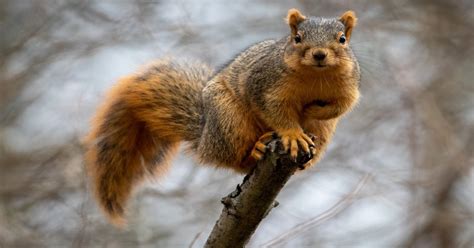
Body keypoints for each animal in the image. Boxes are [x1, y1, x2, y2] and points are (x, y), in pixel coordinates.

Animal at [84, 8, 360, 226]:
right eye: (297, 38)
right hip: (229, 121)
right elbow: (275, 111)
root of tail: (205, 137)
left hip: (323, 133)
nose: (319, 54)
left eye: (342, 39)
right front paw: (293, 134)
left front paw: (314, 110)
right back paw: (256, 149)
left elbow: (341, 107)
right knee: (236, 158)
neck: (315, 77)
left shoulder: (349, 87)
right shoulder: (263, 85)